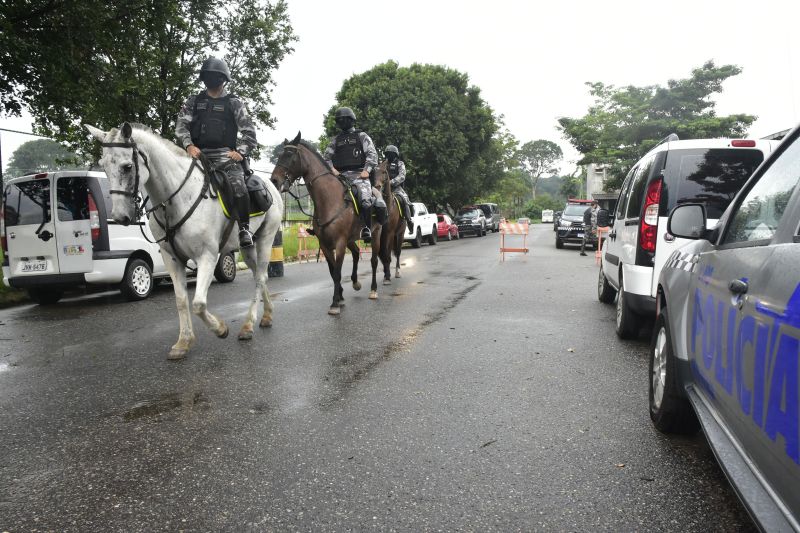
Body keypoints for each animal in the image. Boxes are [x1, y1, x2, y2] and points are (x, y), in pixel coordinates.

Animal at [84, 122, 282, 360]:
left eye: (127, 166)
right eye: (104, 166)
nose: (120, 217)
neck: (178, 198)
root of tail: (270, 186)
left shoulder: (207, 256)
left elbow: (198, 304)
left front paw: (220, 329)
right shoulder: (172, 259)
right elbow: (180, 300)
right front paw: (183, 342)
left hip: (266, 239)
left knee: (261, 277)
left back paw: (248, 326)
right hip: (248, 248)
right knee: (258, 276)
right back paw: (267, 315)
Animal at [270, 135, 386, 314]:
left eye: (290, 155)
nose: (274, 180)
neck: (329, 200)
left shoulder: (339, 242)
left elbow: (337, 272)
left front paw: (334, 304)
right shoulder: (325, 244)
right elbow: (332, 271)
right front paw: (339, 296)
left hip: (375, 233)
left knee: (373, 260)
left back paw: (373, 290)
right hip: (351, 239)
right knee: (356, 253)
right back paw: (355, 282)